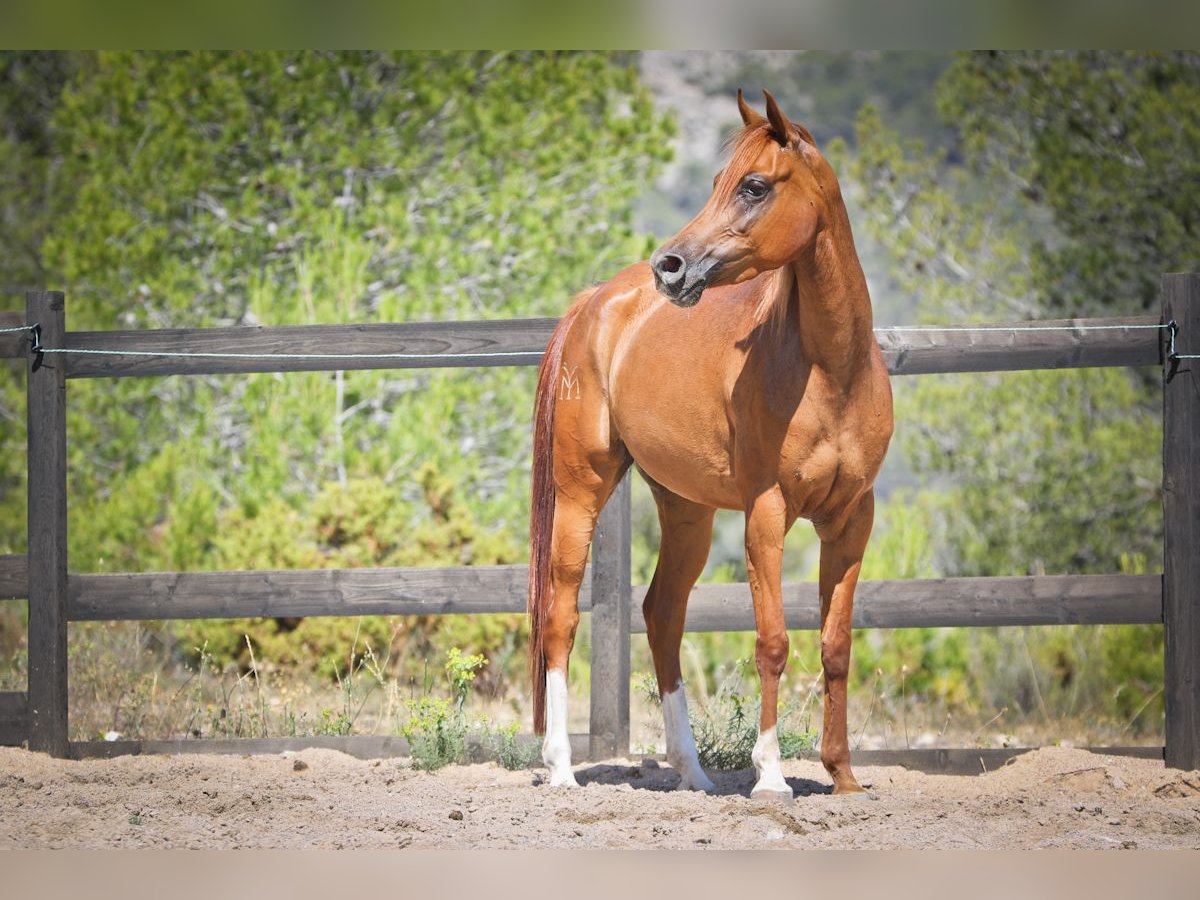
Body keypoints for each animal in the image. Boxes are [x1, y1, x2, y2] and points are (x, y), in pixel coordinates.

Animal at [528, 90, 892, 796]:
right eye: (720, 180)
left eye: (754, 186)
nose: (669, 266)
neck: (832, 372)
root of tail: (595, 304)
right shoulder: (767, 514)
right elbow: (773, 641)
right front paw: (771, 775)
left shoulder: (850, 520)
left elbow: (836, 646)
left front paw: (843, 776)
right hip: (580, 492)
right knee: (561, 616)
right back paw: (560, 769)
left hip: (685, 508)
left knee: (663, 612)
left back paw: (692, 772)